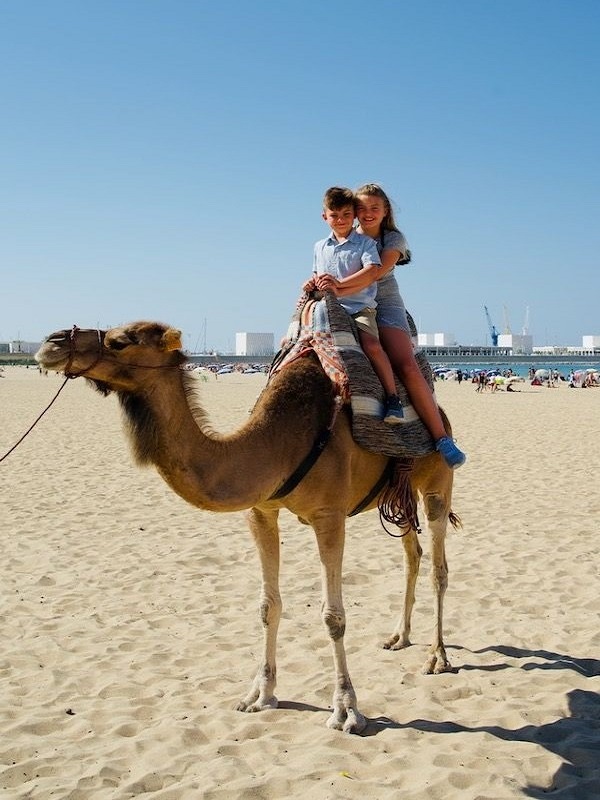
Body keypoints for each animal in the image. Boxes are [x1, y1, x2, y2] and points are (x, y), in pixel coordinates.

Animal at [35, 320, 459, 735]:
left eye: (120, 341)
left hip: (437, 483)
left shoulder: (329, 515)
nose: (51, 343)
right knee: (412, 554)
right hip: (397, 494)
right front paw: (260, 695)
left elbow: (333, 617)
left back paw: (437, 656)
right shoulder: (260, 511)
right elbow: (268, 606)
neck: (278, 442)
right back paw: (400, 636)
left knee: (439, 568)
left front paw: (346, 709)